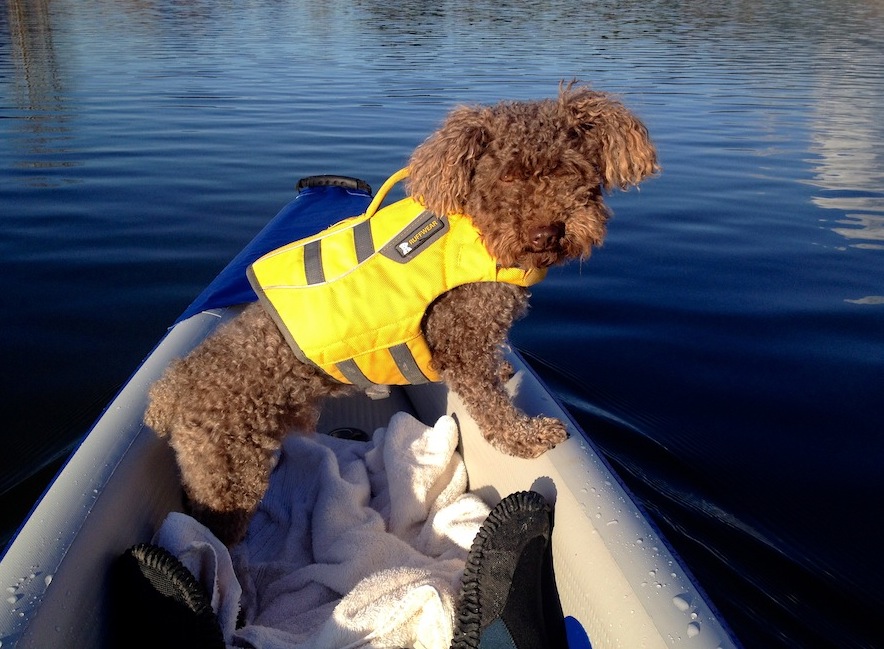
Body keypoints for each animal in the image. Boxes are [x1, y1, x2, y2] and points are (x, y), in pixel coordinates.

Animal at [145, 85, 656, 540]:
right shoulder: (462, 342)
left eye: (569, 169)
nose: (546, 233)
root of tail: (170, 392)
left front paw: (507, 373)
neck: (478, 231)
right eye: (507, 176)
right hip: (231, 476)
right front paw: (526, 438)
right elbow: (492, 408)